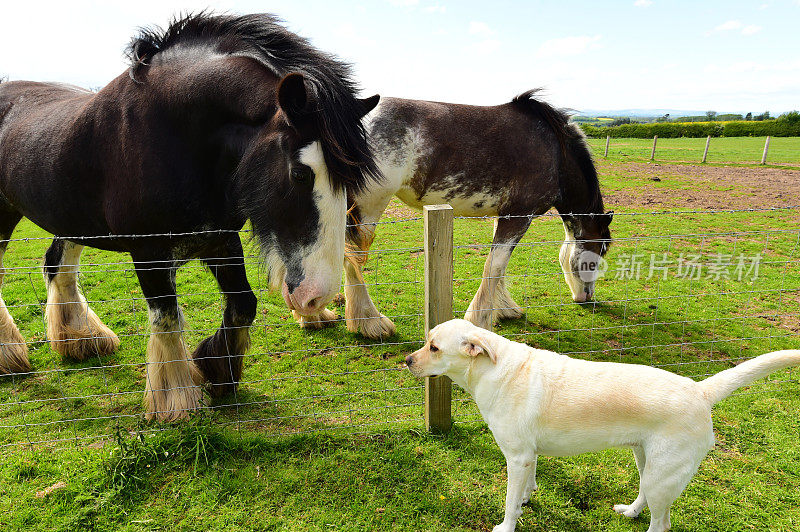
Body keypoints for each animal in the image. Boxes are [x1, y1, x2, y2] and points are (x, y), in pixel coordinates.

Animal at [0, 13, 380, 420]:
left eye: (349, 179)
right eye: (300, 174)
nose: (316, 298)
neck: (176, 135)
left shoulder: (220, 239)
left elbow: (243, 305)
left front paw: (218, 372)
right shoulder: (149, 252)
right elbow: (167, 318)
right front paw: (176, 400)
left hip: (72, 220)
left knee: (58, 265)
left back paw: (81, 338)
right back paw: (10, 354)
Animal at [406, 320, 800, 532]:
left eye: (434, 347)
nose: (407, 360)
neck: (491, 369)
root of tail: (700, 390)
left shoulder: (516, 458)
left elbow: (508, 502)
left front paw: (506, 524)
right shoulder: (528, 457)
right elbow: (525, 489)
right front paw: (526, 501)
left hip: (662, 475)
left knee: (662, 524)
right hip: (647, 463)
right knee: (645, 499)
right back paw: (630, 512)